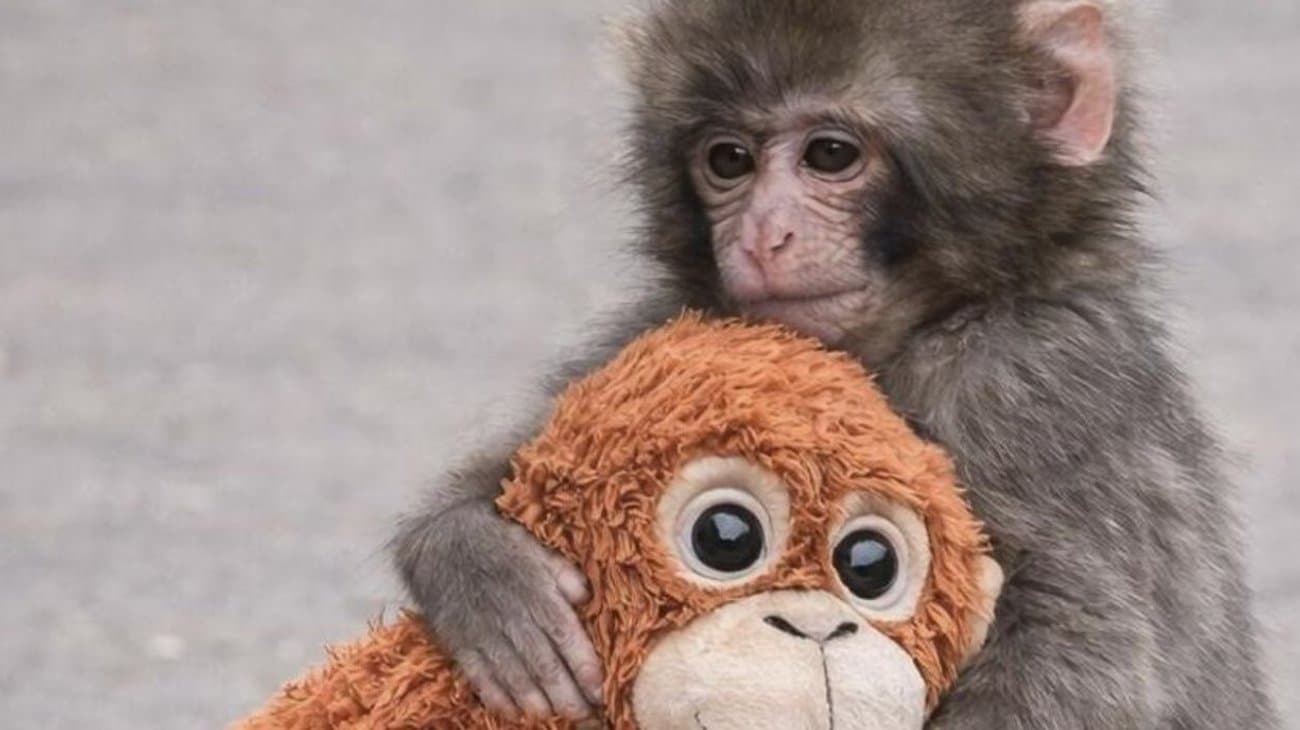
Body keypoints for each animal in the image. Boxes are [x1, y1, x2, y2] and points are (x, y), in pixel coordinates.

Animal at [394, 1, 1277, 728]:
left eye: (829, 154)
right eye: (728, 160)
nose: (762, 236)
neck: (918, 326)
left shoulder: (1027, 382)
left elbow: (1080, 648)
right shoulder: (673, 329)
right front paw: (482, 572)